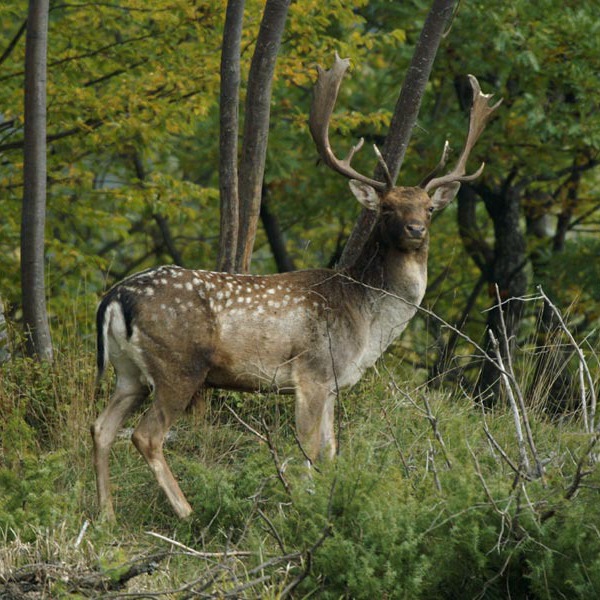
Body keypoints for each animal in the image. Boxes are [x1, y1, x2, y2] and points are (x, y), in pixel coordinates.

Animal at [90, 54, 502, 516]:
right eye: (387, 208)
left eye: (429, 208)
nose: (415, 229)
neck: (366, 320)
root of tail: (115, 297)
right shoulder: (313, 372)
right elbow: (308, 451)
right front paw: (303, 507)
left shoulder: (335, 383)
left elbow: (332, 450)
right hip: (178, 366)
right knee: (146, 435)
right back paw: (186, 512)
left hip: (129, 372)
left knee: (100, 428)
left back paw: (106, 514)